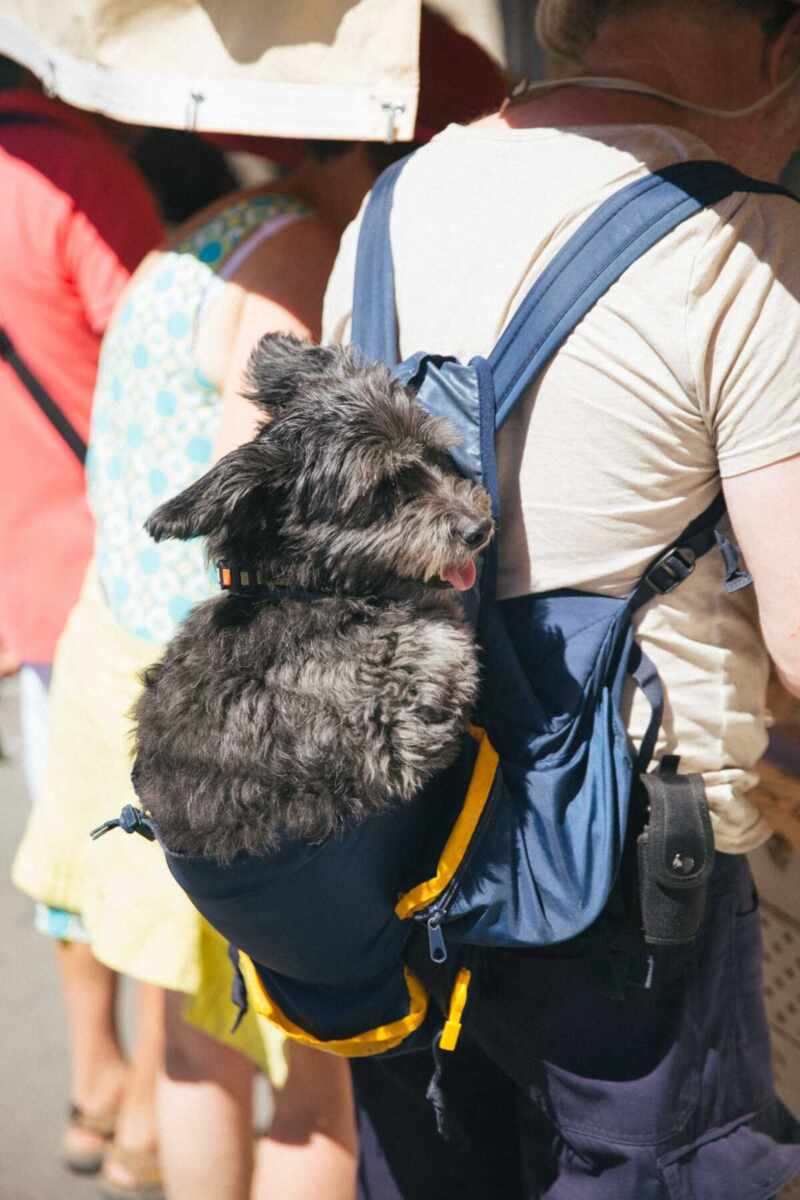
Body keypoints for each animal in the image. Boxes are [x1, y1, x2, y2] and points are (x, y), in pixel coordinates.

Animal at [131, 333, 494, 868]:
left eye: (434, 453)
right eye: (384, 489)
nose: (478, 528)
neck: (297, 586)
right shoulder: (392, 719)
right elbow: (442, 648)